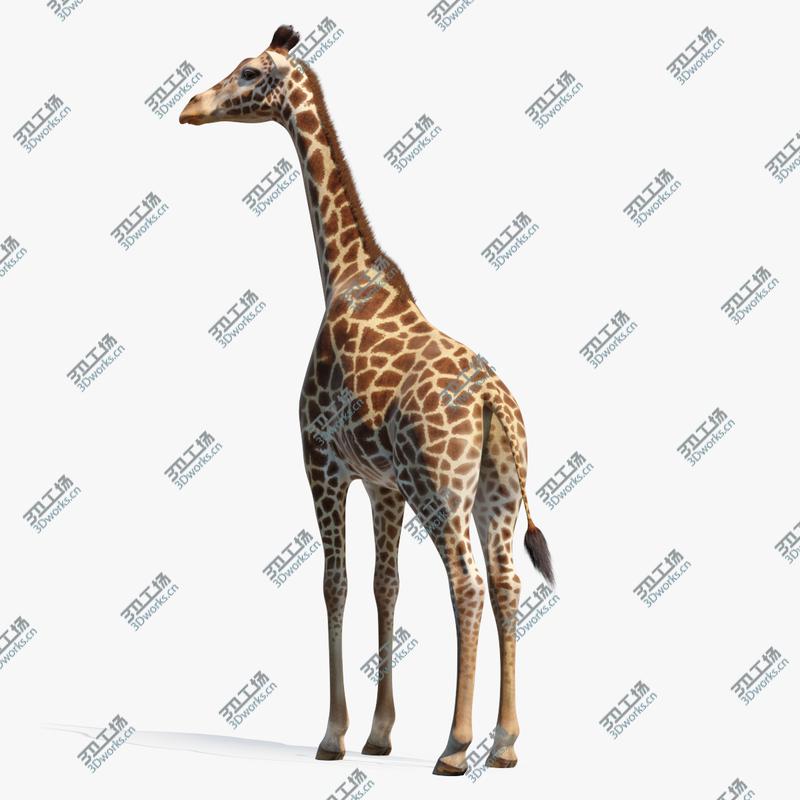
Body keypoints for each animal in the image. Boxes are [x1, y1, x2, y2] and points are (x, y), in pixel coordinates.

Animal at [180, 25, 554, 776]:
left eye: (250, 71)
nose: (191, 107)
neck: (343, 276)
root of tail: (495, 404)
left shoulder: (321, 459)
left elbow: (335, 581)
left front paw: (333, 736)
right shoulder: (384, 483)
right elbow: (385, 585)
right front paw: (379, 734)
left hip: (444, 488)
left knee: (467, 584)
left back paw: (455, 745)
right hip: (498, 489)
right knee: (506, 585)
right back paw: (504, 744)